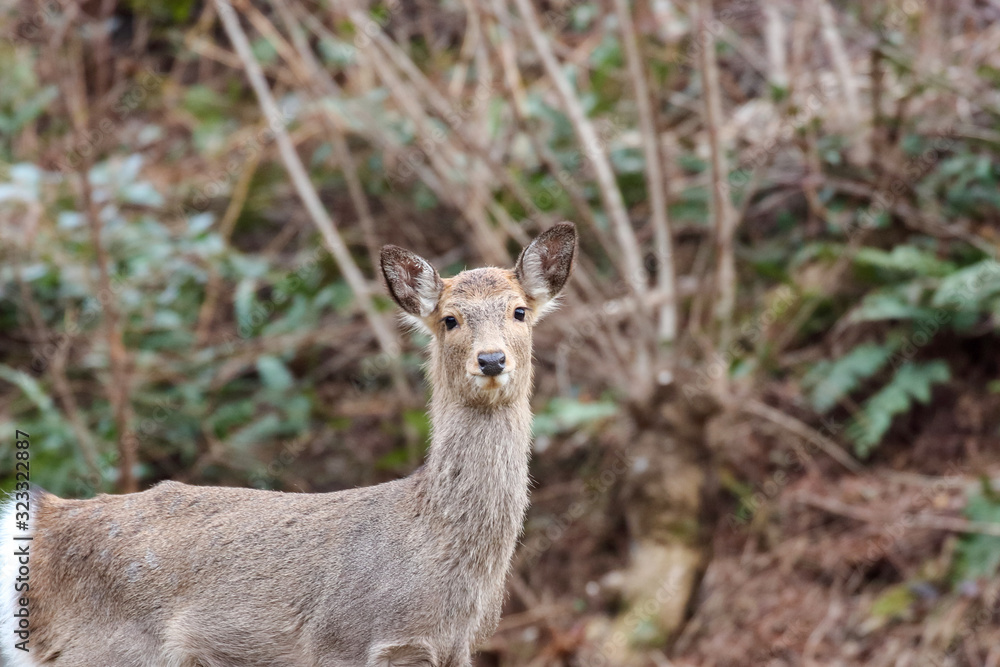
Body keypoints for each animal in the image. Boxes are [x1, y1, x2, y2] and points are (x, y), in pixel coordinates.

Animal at [0, 223, 580, 667]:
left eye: (519, 312)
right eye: (450, 319)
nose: (491, 360)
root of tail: (46, 523)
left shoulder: (455, 650)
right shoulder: (344, 642)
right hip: (105, 651)